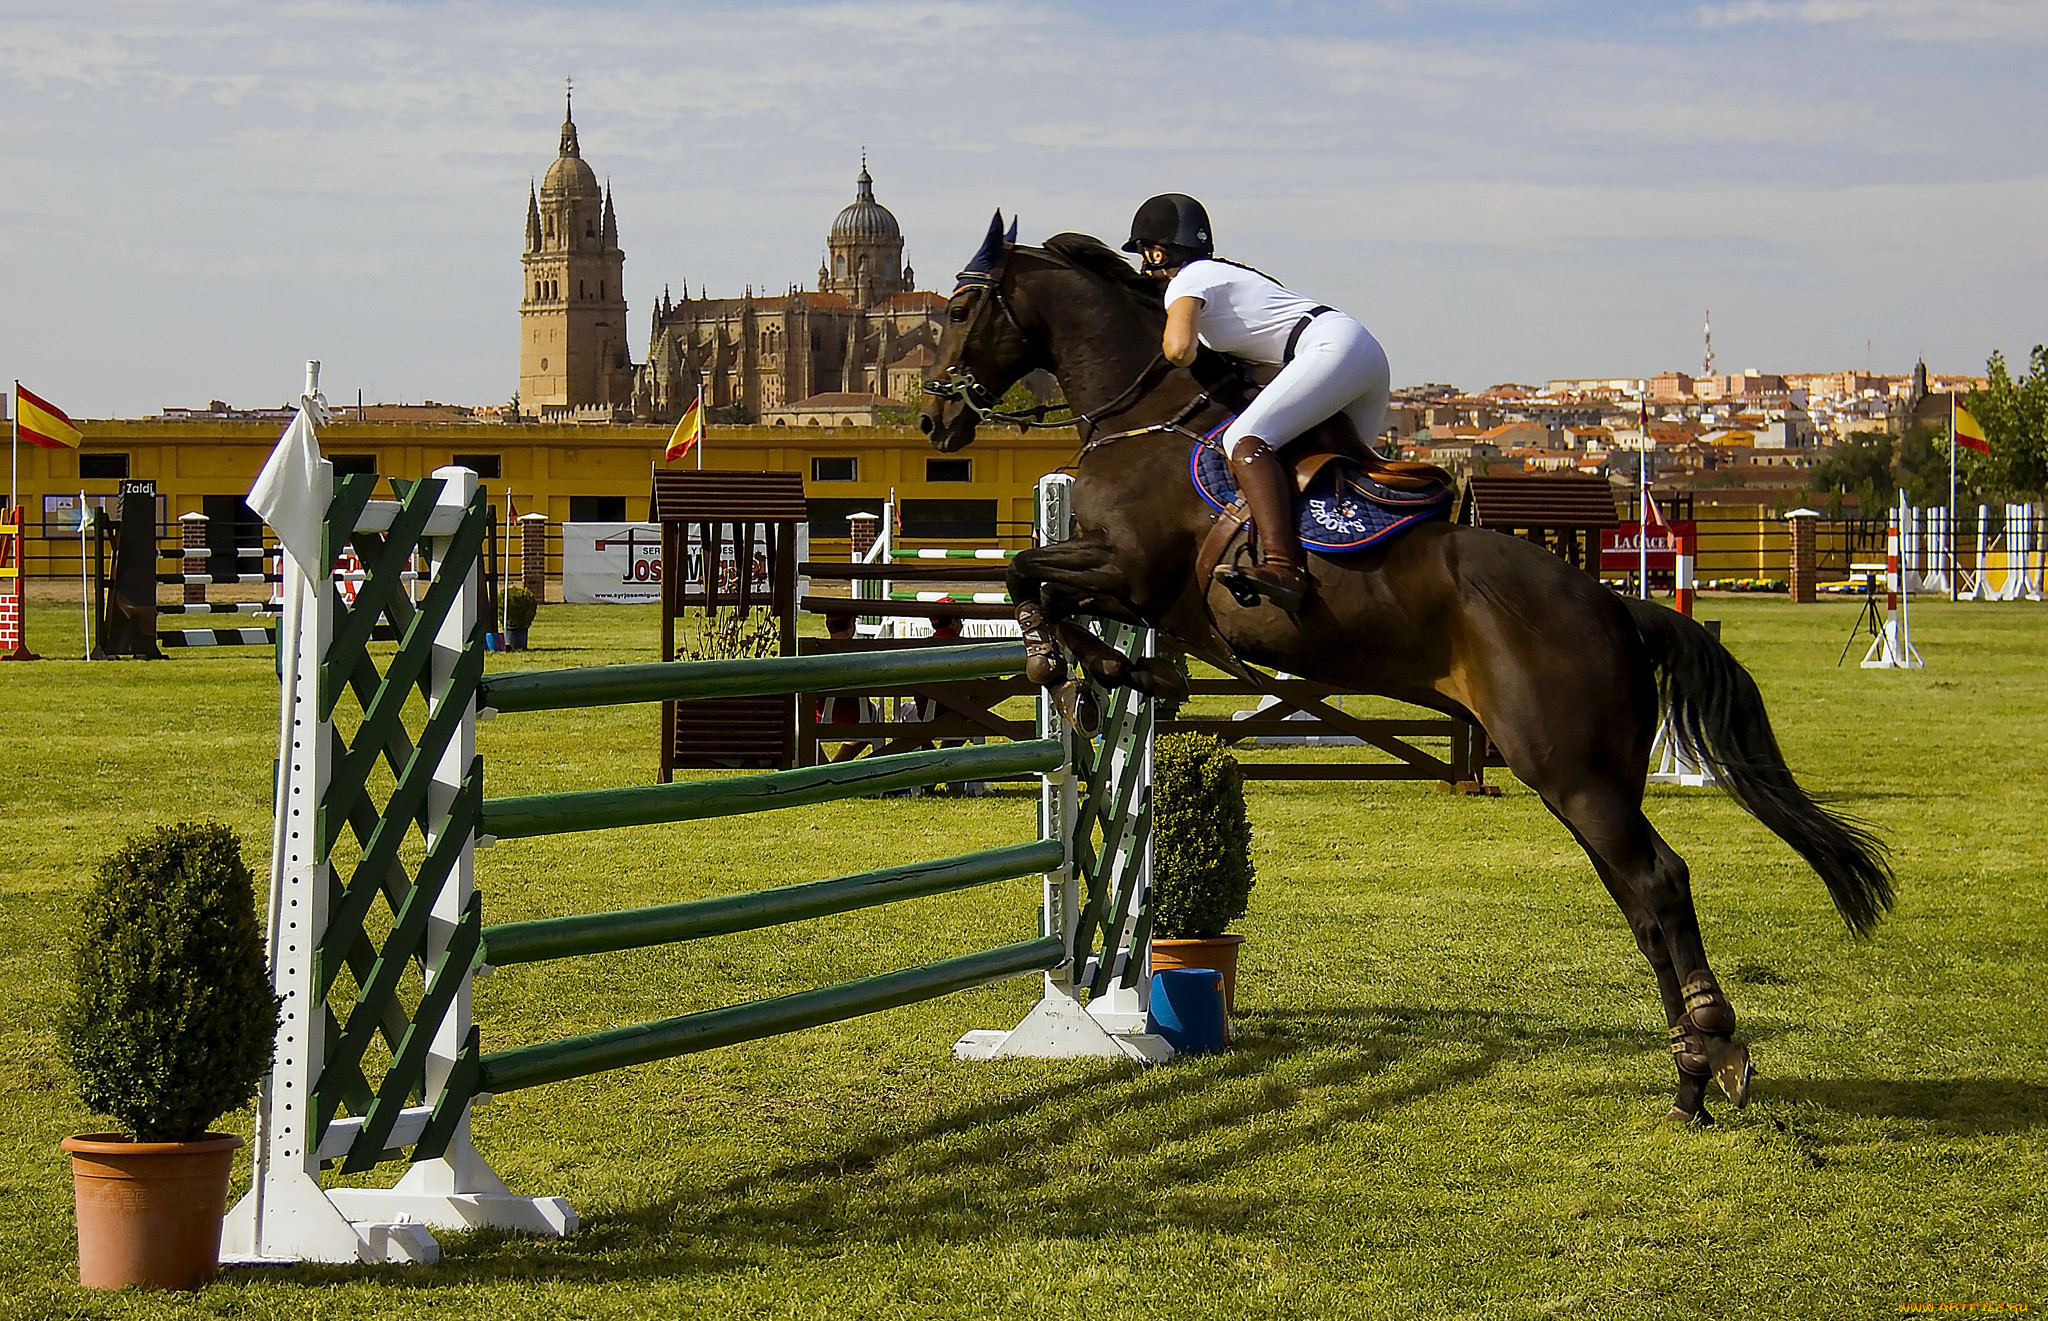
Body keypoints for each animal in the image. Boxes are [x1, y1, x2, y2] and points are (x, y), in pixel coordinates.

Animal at [921, 216, 1892, 1122]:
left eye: (960, 311)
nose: (935, 420)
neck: (1142, 415)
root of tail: (1618, 606)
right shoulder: (1134, 589)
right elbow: (1042, 586)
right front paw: (1116, 675)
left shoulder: (1129, 570)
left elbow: (1026, 574)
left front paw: (1073, 666)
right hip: (1595, 773)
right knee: (1641, 894)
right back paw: (1698, 1063)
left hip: (1567, 767)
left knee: (1656, 880)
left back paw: (1707, 1052)